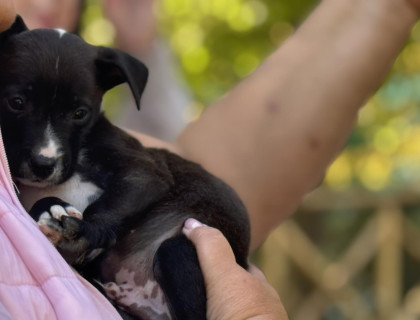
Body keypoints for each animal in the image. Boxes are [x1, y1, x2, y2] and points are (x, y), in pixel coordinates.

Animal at [0, 16, 249, 320]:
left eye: (80, 113)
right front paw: (51, 210)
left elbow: (111, 204)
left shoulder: (145, 172)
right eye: (16, 103)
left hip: (176, 250)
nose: (44, 164)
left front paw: (84, 232)